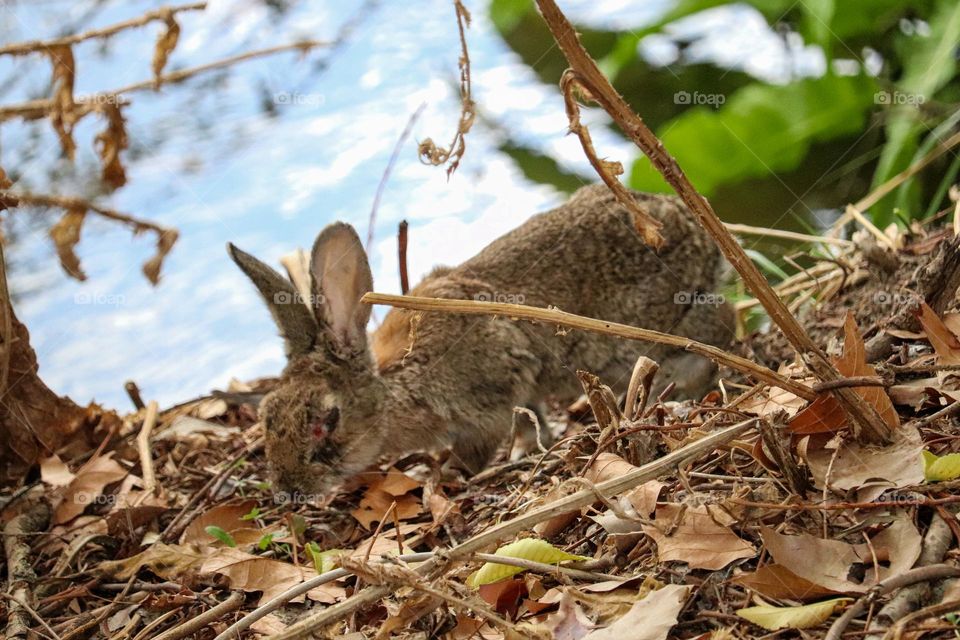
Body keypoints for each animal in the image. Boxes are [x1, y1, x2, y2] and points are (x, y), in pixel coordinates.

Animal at [228, 184, 735, 497]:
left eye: (325, 421)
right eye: (267, 416)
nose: (289, 490)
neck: (394, 388)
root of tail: (695, 226)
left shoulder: (483, 404)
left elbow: (478, 447)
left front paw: (449, 472)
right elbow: (533, 420)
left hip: (660, 332)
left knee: (718, 333)